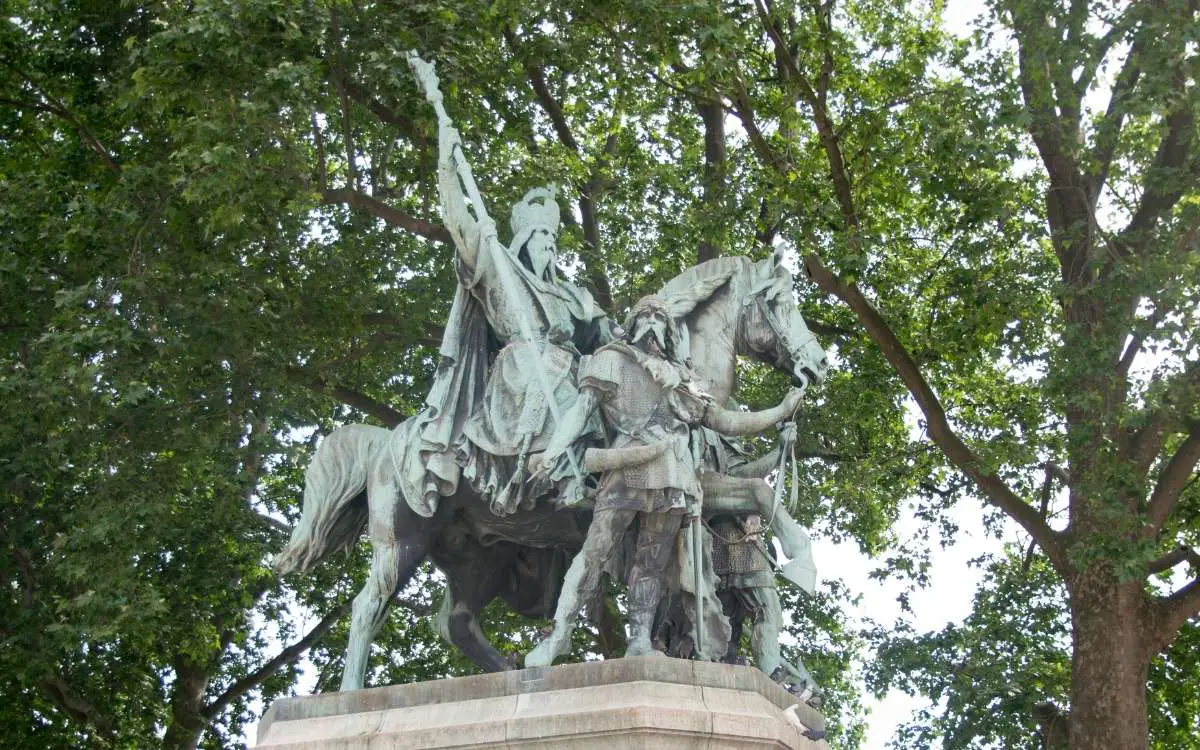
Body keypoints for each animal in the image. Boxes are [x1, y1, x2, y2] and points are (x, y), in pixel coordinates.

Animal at [274, 254, 830, 686]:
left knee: (457, 622)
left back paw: (511, 670)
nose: (818, 365)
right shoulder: (689, 484)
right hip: (404, 539)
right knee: (369, 604)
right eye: (781, 302)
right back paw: (349, 694)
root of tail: (387, 438)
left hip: (479, 556)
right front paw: (801, 563)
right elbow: (758, 495)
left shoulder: (692, 490)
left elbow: (752, 495)